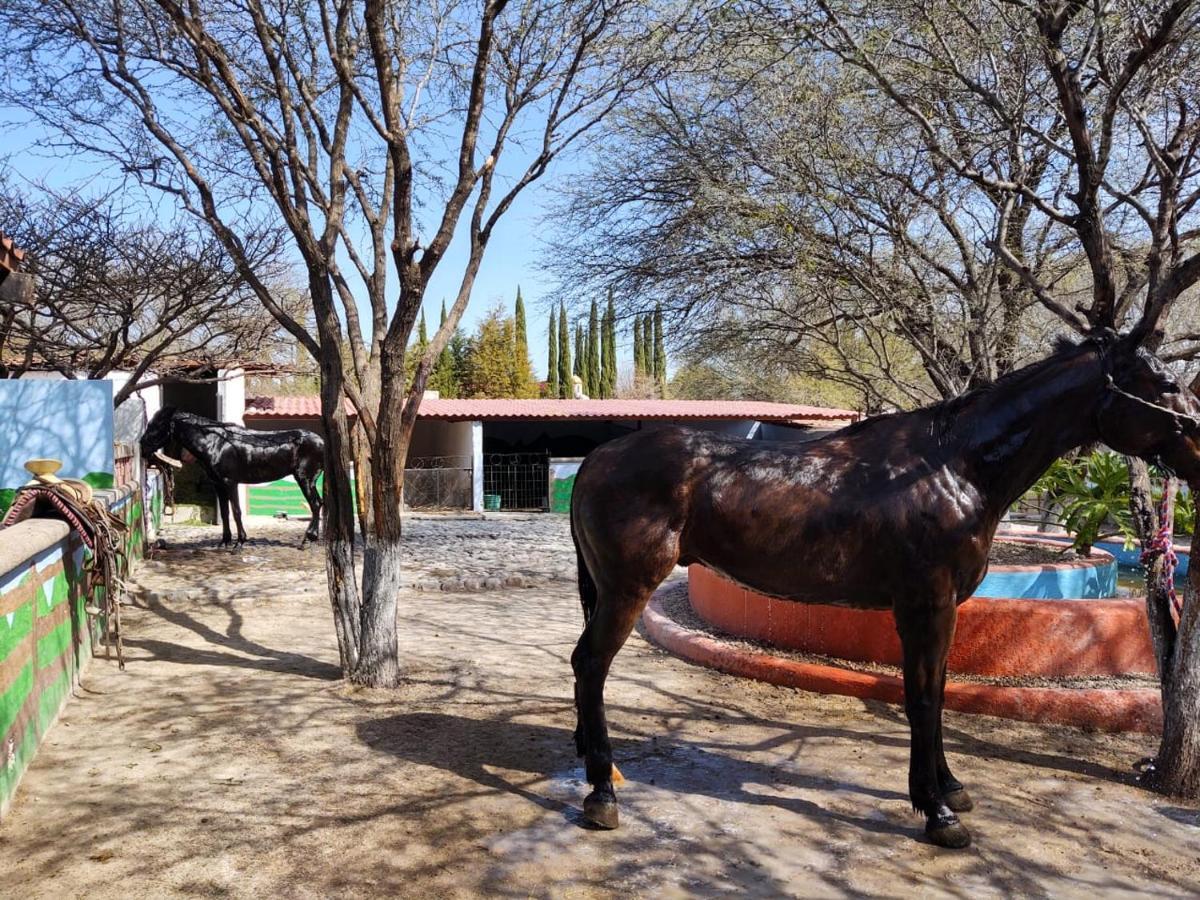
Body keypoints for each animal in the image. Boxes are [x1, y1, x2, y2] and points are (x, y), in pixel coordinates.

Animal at [139, 410, 324, 549]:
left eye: (157, 425)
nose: (142, 447)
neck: (216, 442)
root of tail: (321, 442)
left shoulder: (230, 483)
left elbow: (236, 511)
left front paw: (239, 543)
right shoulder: (219, 485)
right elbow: (225, 512)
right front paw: (224, 542)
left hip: (305, 479)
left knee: (314, 505)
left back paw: (307, 540)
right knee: (319, 504)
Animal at [568, 336, 1200, 849]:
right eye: (1165, 384)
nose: (1199, 451)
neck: (953, 466)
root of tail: (599, 457)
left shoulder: (943, 611)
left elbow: (938, 694)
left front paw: (949, 787)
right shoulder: (924, 606)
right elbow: (920, 699)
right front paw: (939, 814)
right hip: (627, 590)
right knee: (590, 663)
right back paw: (602, 793)